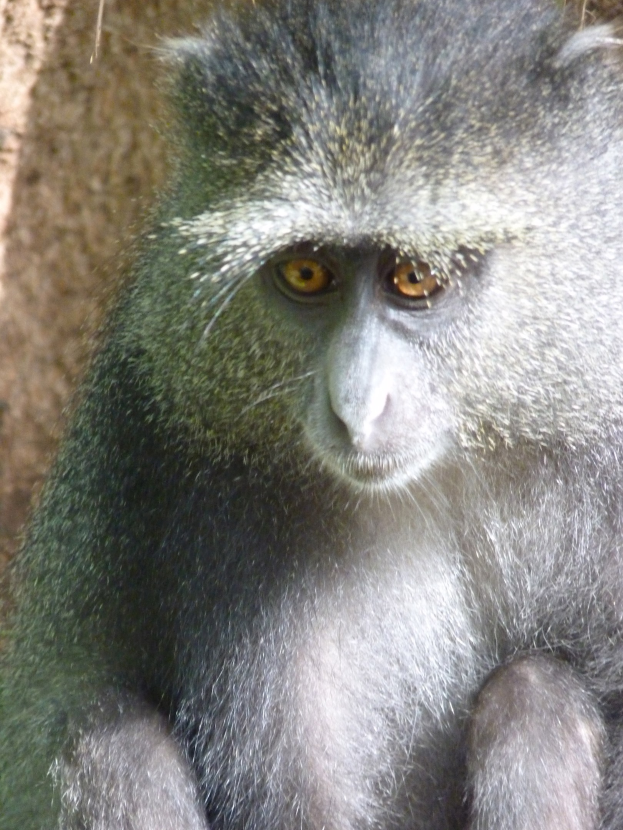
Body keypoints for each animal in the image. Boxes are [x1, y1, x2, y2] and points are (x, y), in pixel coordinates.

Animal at [1, 0, 623, 827]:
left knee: (534, 697)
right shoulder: (201, 480)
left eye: (414, 277)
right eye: (306, 273)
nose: (357, 403)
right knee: (103, 739)